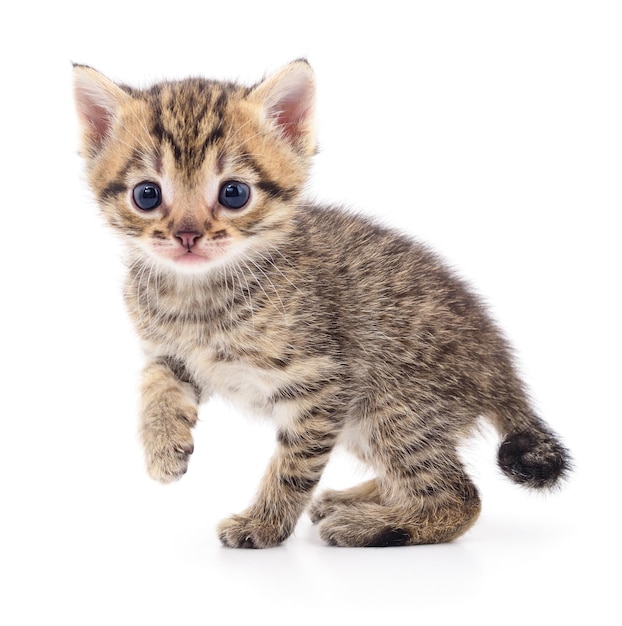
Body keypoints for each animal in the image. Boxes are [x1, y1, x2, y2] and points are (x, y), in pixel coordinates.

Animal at [72, 61, 572, 544]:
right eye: (147, 194)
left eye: (234, 193)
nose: (187, 235)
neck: (199, 295)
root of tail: (500, 367)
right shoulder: (172, 354)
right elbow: (155, 382)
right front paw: (161, 445)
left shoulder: (323, 381)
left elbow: (294, 465)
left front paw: (263, 525)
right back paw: (357, 500)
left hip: (392, 407)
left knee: (459, 496)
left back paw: (375, 526)